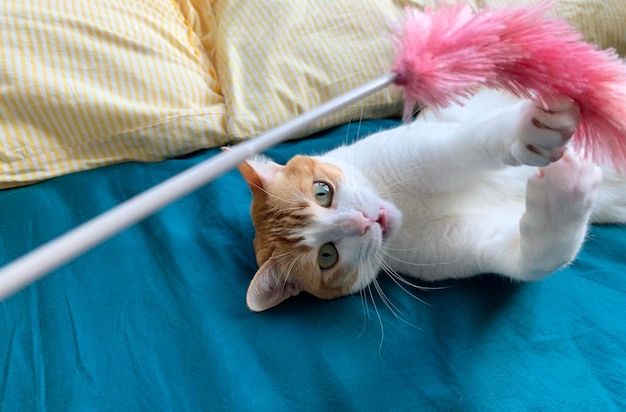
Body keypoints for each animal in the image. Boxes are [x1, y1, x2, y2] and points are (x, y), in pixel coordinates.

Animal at [235, 88, 624, 310]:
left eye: (322, 191)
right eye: (326, 257)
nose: (363, 220)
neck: (406, 205)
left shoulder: (430, 146)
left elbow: (473, 141)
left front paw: (525, 132)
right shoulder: (479, 244)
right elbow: (536, 256)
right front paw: (563, 196)